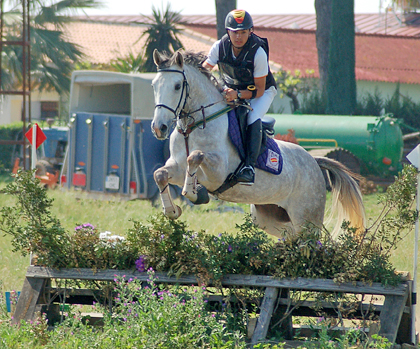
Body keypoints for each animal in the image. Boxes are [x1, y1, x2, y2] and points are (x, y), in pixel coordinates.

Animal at [151, 49, 364, 239]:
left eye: (177, 86)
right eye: (154, 85)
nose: (159, 127)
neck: (192, 126)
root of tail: (314, 161)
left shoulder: (217, 172)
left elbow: (195, 156)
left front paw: (196, 194)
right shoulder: (177, 168)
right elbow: (160, 174)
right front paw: (172, 211)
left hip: (307, 219)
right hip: (269, 216)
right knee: (291, 237)